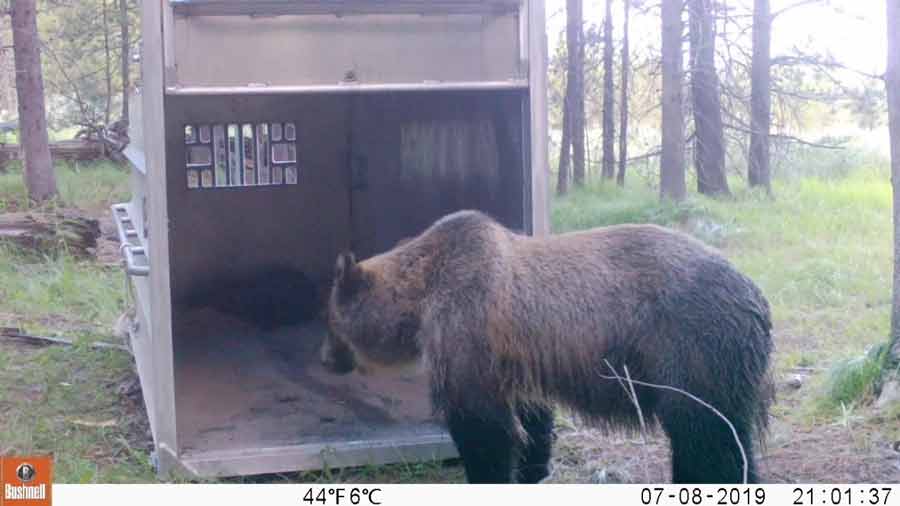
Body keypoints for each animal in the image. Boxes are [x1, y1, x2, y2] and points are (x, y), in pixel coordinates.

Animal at [321, 210, 773, 484]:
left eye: (329, 319)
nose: (325, 358)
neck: (422, 295)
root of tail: (756, 296)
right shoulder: (519, 354)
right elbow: (530, 417)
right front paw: (531, 467)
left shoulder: (468, 329)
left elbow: (480, 424)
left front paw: (488, 471)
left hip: (691, 348)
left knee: (704, 435)